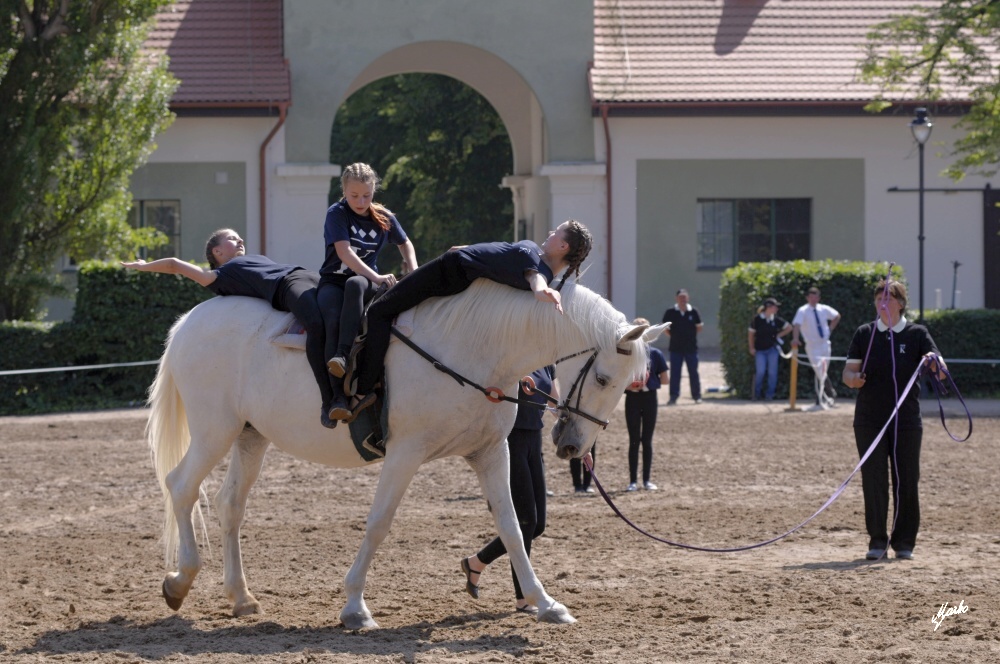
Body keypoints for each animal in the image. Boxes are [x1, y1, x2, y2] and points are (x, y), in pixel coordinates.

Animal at [146, 278, 664, 632]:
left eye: (627, 384)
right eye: (603, 378)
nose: (574, 446)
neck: (471, 347)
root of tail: (190, 320)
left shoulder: (491, 454)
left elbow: (513, 528)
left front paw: (546, 603)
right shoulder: (405, 453)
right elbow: (379, 523)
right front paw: (355, 607)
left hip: (250, 437)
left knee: (229, 506)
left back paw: (241, 597)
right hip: (214, 432)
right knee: (181, 487)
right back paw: (180, 580)